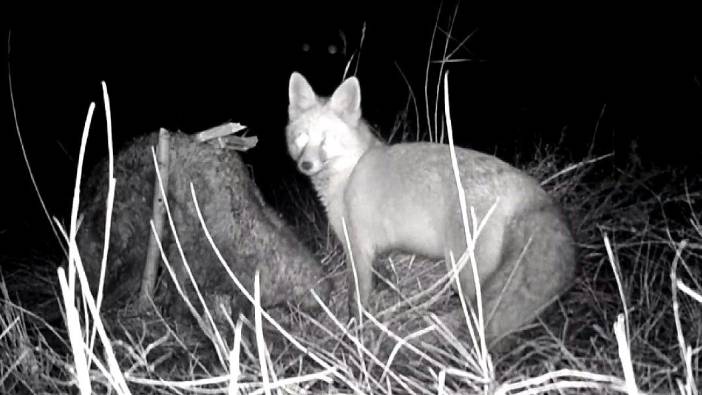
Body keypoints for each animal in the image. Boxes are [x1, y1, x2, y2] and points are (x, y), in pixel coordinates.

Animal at [286, 72, 576, 346]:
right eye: (302, 138)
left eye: (326, 140)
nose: (306, 165)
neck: (349, 172)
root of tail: (525, 183)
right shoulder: (376, 251)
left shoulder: (357, 249)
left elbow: (356, 300)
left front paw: (355, 333)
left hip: (464, 273)